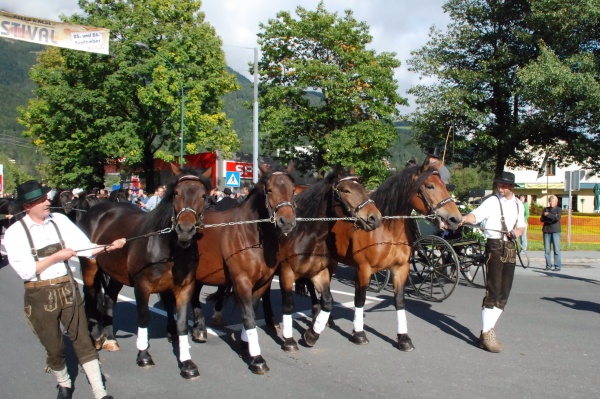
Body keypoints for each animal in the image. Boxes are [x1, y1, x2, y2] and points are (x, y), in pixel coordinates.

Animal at [78, 165, 212, 382]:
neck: (168, 248)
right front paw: (144, 355)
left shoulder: (185, 288)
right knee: (90, 297)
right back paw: (96, 337)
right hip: (90, 268)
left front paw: (187, 363)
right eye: (176, 193)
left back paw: (110, 338)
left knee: (109, 300)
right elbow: (143, 318)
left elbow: (182, 323)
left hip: (116, 274)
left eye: (203, 196)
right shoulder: (142, 286)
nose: (185, 230)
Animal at [188, 162, 296, 376]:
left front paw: (246, 348)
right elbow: (248, 316)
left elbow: (252, 311)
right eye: (269, 190)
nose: (286, 222)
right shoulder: (242, 282)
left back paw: (200, 329)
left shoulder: (262, 283)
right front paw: (257, 359)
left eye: (293, 190)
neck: (250, 236)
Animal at [276, 167, 382, 352]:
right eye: (345, 190)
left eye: (362, 187)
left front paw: (312, 333)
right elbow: (288, 305)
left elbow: (327, 301)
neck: (308, 235)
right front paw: (290, 340)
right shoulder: (286, 274)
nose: (374, 217)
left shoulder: (319, 273)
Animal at [318, 160, 464, 354]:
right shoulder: (363, 270)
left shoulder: (400, 269)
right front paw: (359, 334)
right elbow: (360, 299)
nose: (456, 219)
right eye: (430, 186)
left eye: (445, 186)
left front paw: (404, 338)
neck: (386, 230)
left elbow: (400, 301)